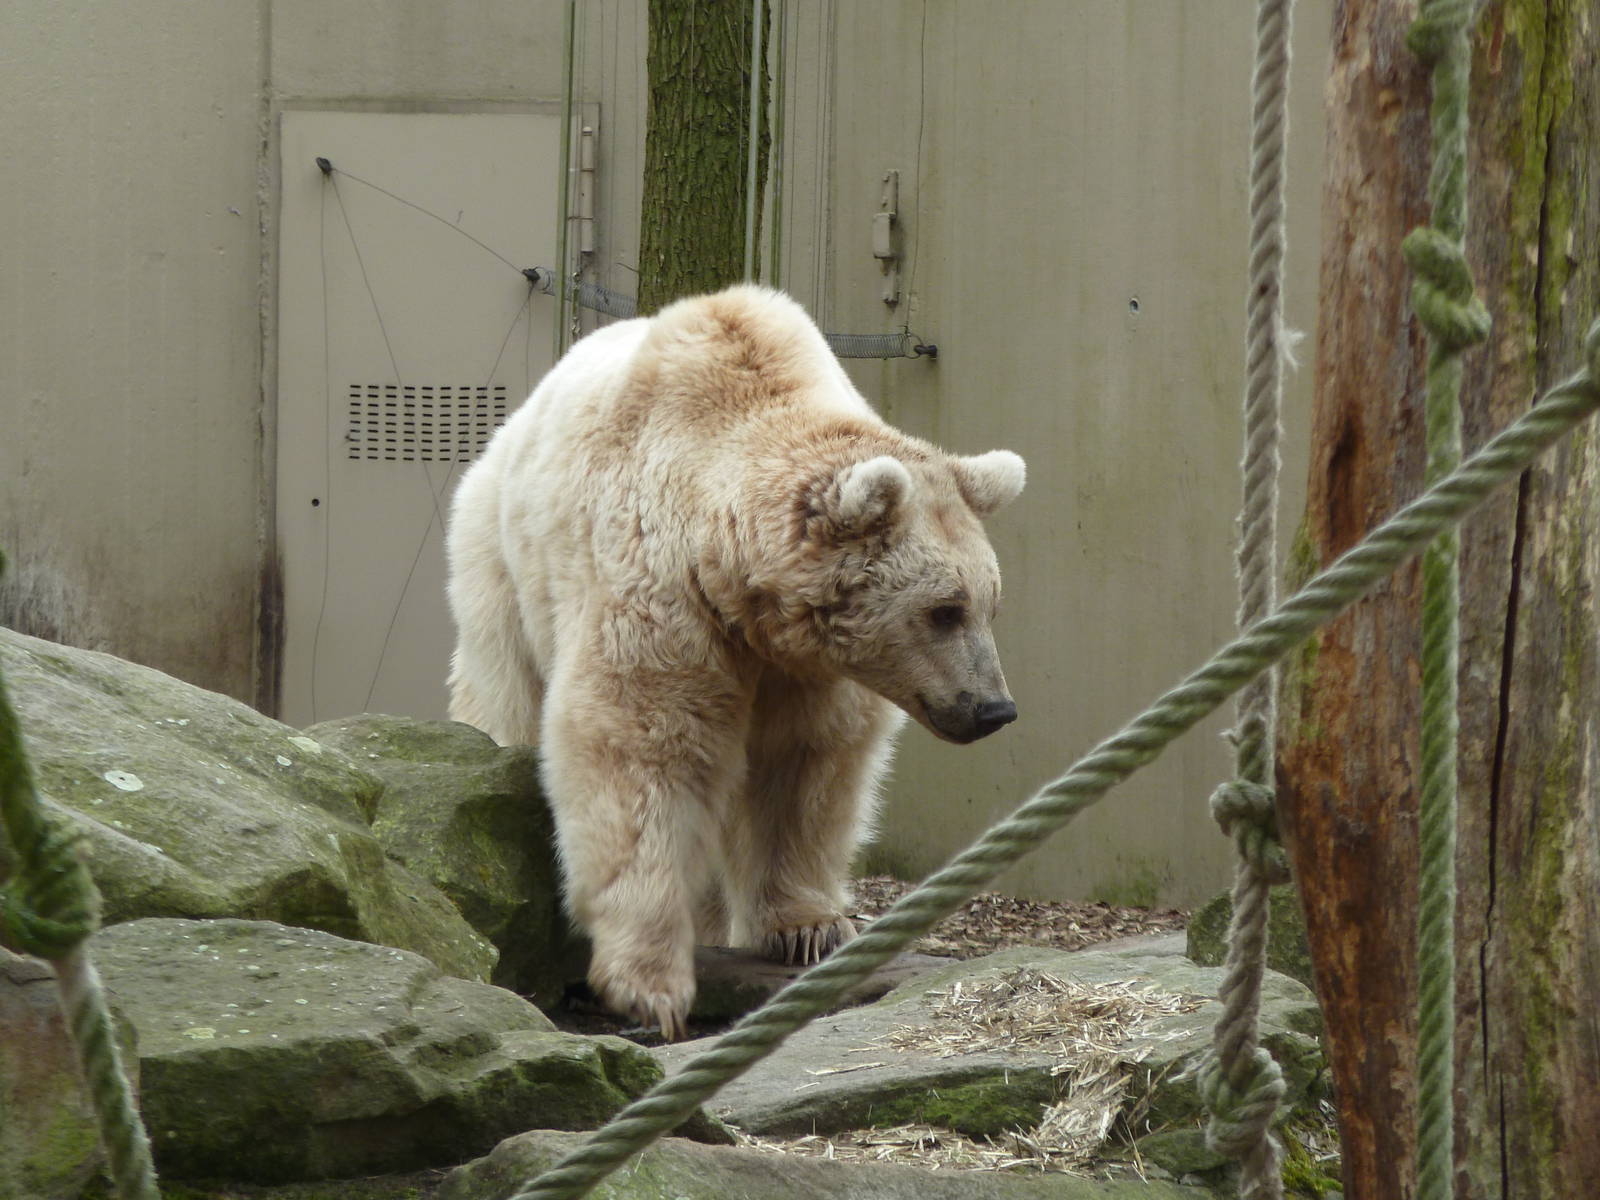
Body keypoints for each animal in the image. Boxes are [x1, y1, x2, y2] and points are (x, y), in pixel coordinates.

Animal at [445, 285, 1024, 1038]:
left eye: (990, 603)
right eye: (944, 609)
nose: (993, 707)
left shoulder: (809, 664)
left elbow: (806, 764)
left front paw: (807, 927)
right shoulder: (658, 587)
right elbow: (642, 745)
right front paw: (650, 984)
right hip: (500, 564)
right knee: (502, 694)